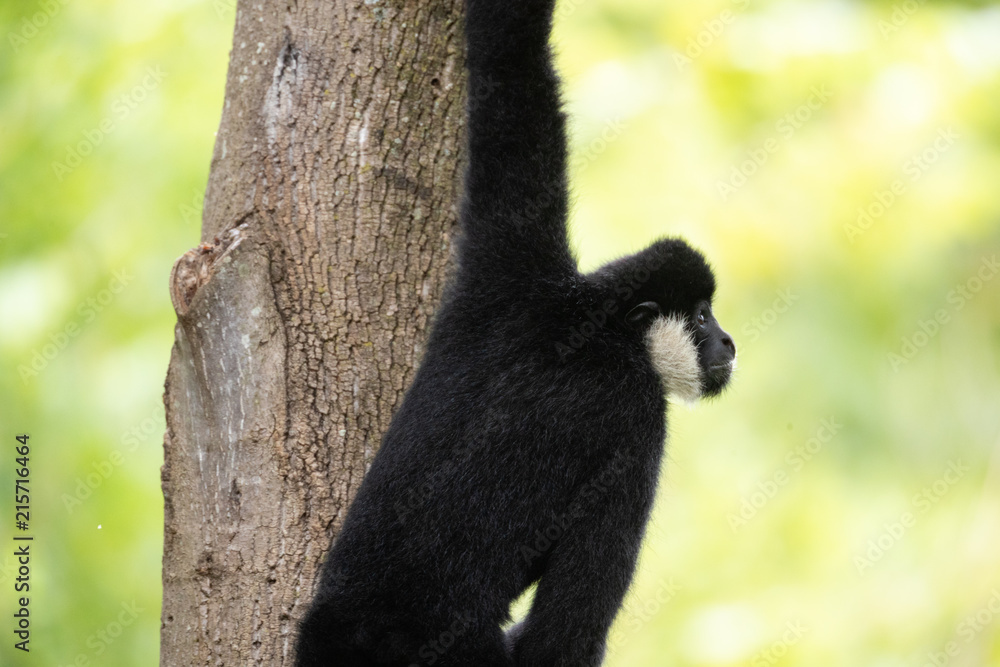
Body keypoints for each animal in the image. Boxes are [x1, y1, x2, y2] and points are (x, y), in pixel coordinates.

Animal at [295, 0, 735, 665]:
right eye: (704, 314)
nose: (727, 342)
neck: (592, 325)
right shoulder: (635, 419)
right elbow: (566, 630)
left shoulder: (504, 266)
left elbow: (511, 68)